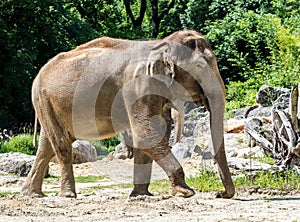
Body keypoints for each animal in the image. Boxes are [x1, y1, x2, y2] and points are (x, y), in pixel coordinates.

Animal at [22, 29, 236, 198]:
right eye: (199, 67)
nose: (220, 194)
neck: (162, 44)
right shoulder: (138, 85)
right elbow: (146, 133)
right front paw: (186, 192)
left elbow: (151, 134)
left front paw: (141, 195)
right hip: (43, 99)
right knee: (62, 145)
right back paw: (66, 195)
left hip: (47, 104)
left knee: (46, 146)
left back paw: (32, 194)